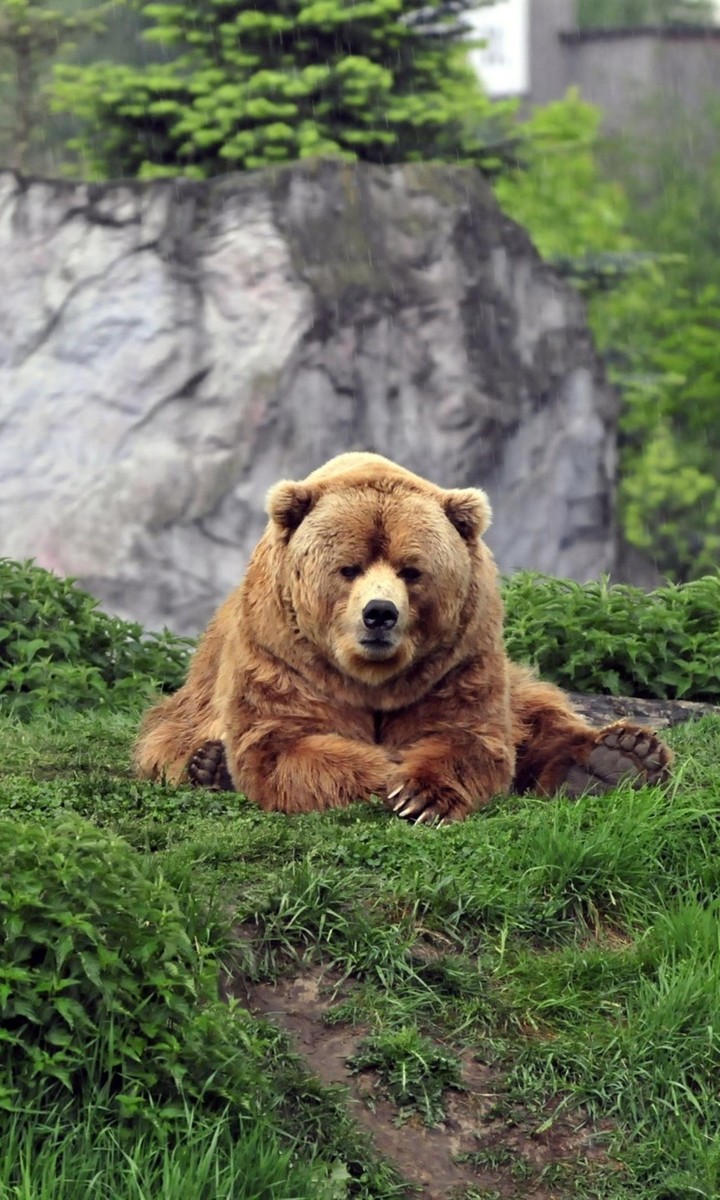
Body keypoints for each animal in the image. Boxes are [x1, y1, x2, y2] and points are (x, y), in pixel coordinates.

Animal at [133, 452, 672, 823]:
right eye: (348, 567)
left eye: (412, 570)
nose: (379, 614)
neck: (371, 677)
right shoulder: (281, 655)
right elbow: (285, 742)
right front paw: (385, 774)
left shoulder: (458, 659)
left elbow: (470, 736)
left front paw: (420, 794)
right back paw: (208, 766)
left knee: (539, 713)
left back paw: (619, 757)